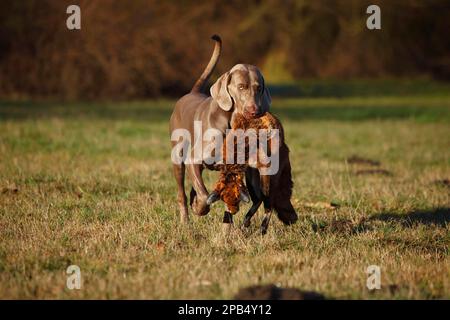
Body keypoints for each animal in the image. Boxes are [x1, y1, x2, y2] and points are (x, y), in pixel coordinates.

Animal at [171, 35, 298, 228]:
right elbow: (203, 194)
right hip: (178, 157)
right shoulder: (194, 159)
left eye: (258, 87)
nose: (255, 111)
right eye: (241, 87)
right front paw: (200, 208)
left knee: (259, 198)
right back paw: (186, 219)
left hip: (254, 174)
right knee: (182, 193)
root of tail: (191, 93)